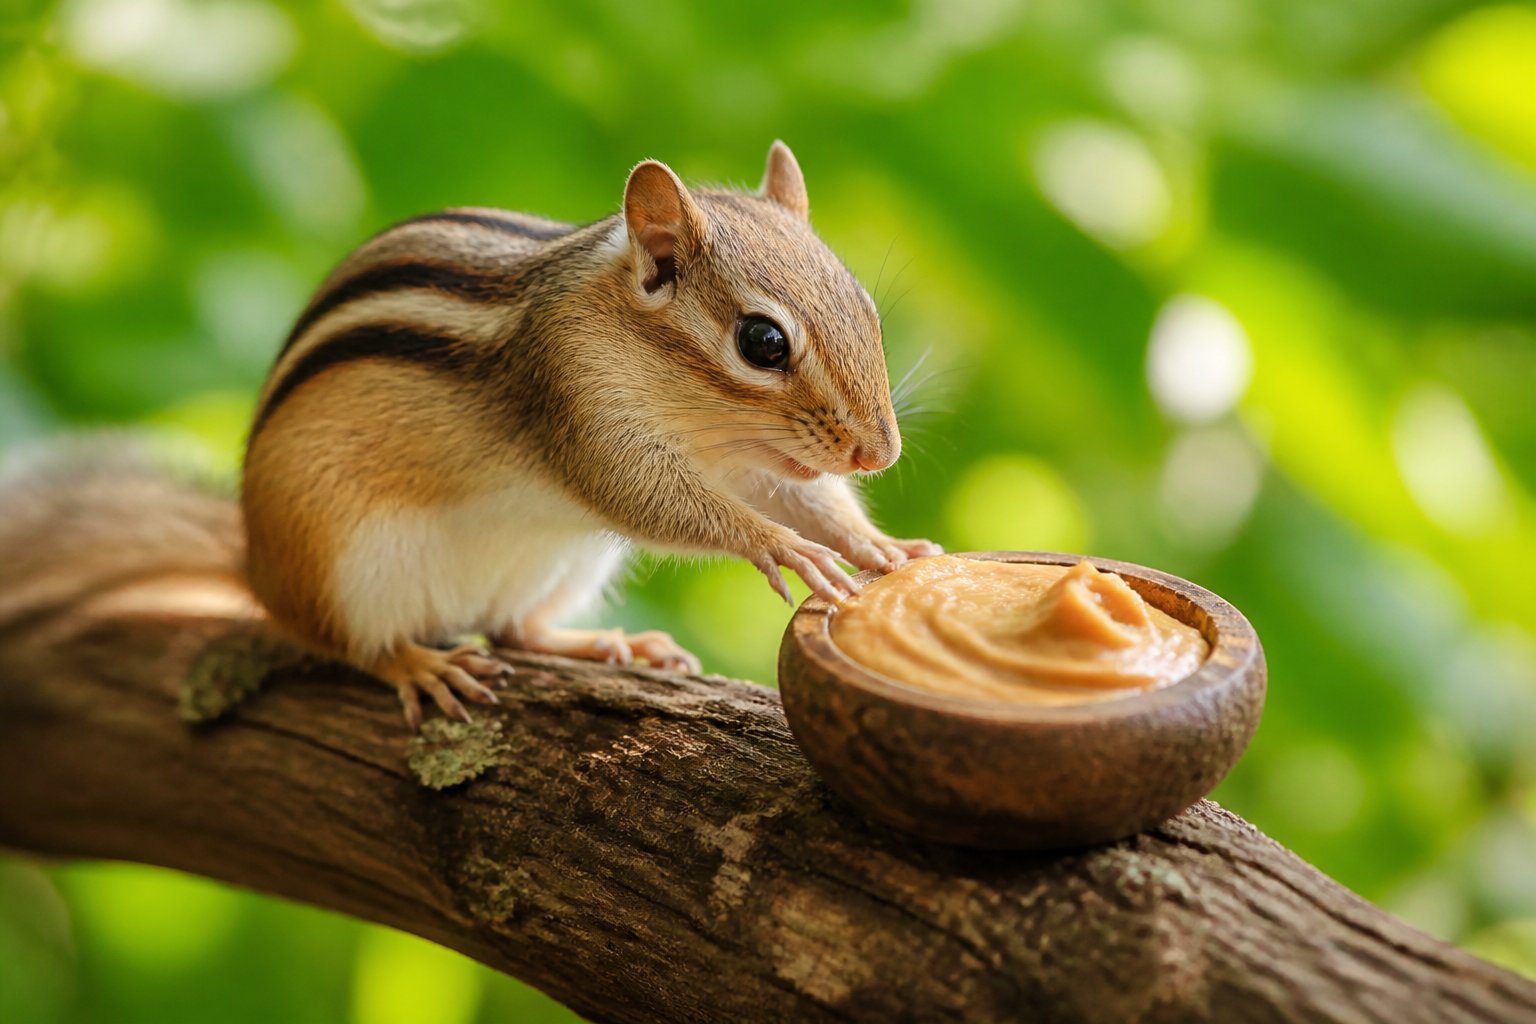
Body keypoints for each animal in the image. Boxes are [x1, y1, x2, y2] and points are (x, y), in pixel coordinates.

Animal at [0, 142, 939, 727]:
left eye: (864, 305)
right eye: (762, 342)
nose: (879, 452)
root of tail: (256, 561)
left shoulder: (752, 459)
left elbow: (803, 493)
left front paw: (883, 547)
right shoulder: (578, 409)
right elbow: (655, 499)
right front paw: (784, 547)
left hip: (565, 565)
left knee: (514, 629)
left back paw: (609, 642)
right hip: (344, 562)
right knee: (343, 641)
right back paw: (419, 665)